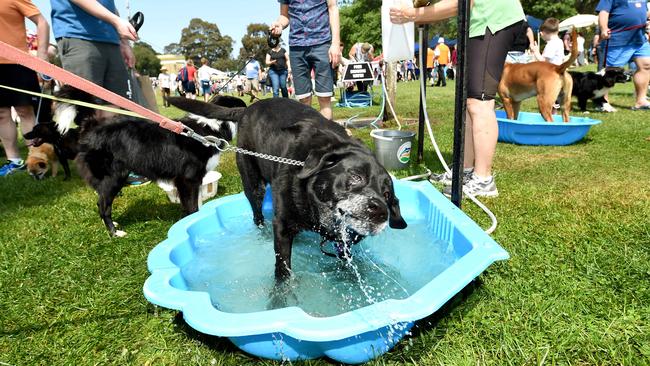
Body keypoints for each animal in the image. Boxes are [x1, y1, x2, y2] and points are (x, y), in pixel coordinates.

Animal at [167, 98, 404, 288]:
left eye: (387, 195)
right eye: (356, 177)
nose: (380, 211)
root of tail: (247, 108)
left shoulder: (341, 240)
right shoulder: (282, 226)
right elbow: (283, 269)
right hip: (253, 182)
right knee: (257, 213)